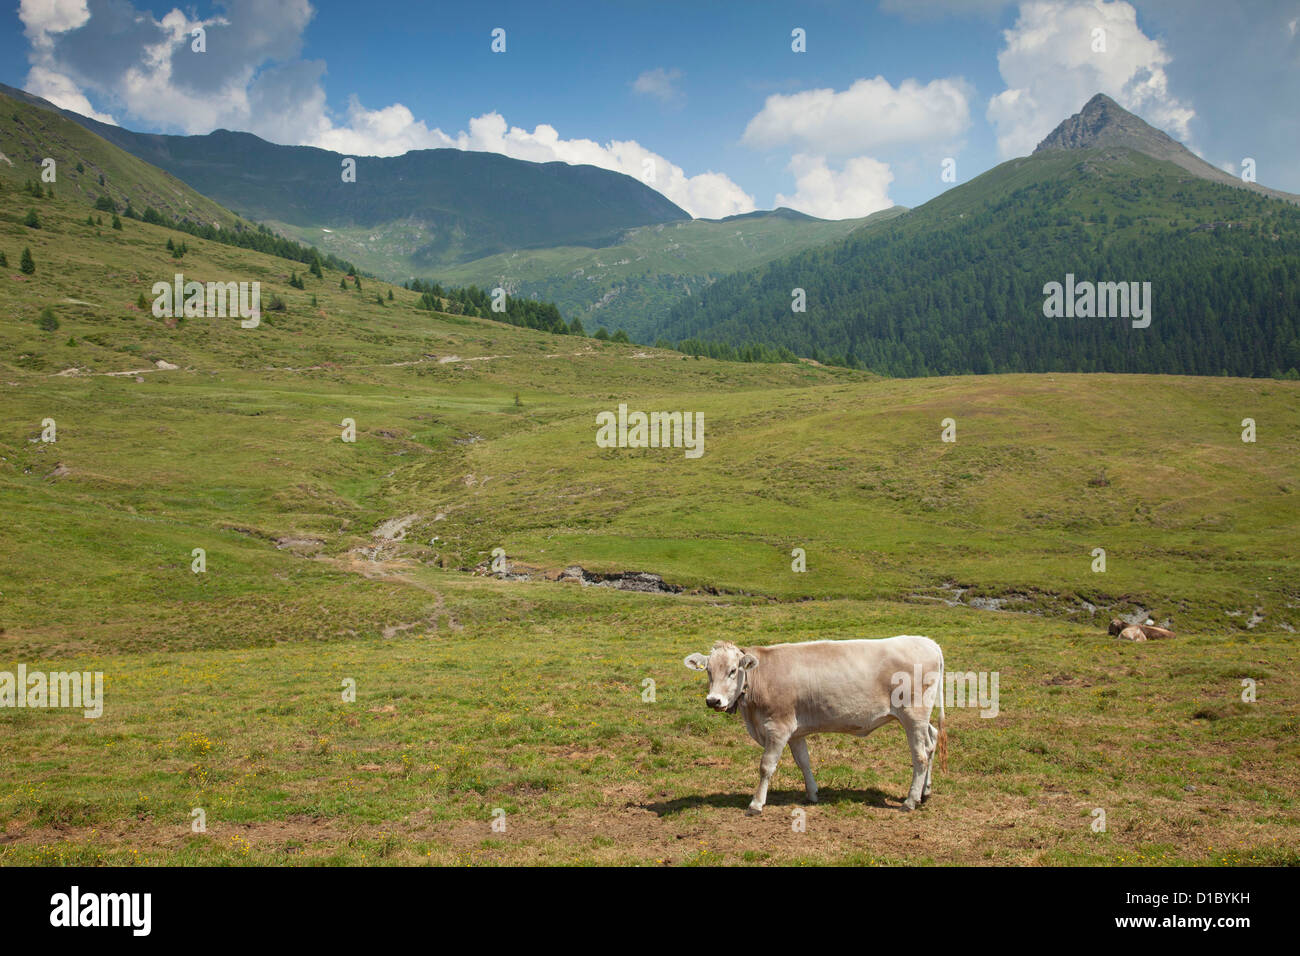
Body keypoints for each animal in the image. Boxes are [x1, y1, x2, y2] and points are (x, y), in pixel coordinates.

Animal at [681, 634, 946, 816]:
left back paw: (910, 801)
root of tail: (928, 642)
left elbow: (766, 766)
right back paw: (925, 793)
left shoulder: (778, 728)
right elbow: (803, 762)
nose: (713, 700)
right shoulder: (796, 732)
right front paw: (812, 793)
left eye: (733, 670)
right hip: (922, 720)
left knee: (921, 756)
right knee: (932, 742)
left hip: (913, 716)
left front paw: (756, 804)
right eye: (708, 671)